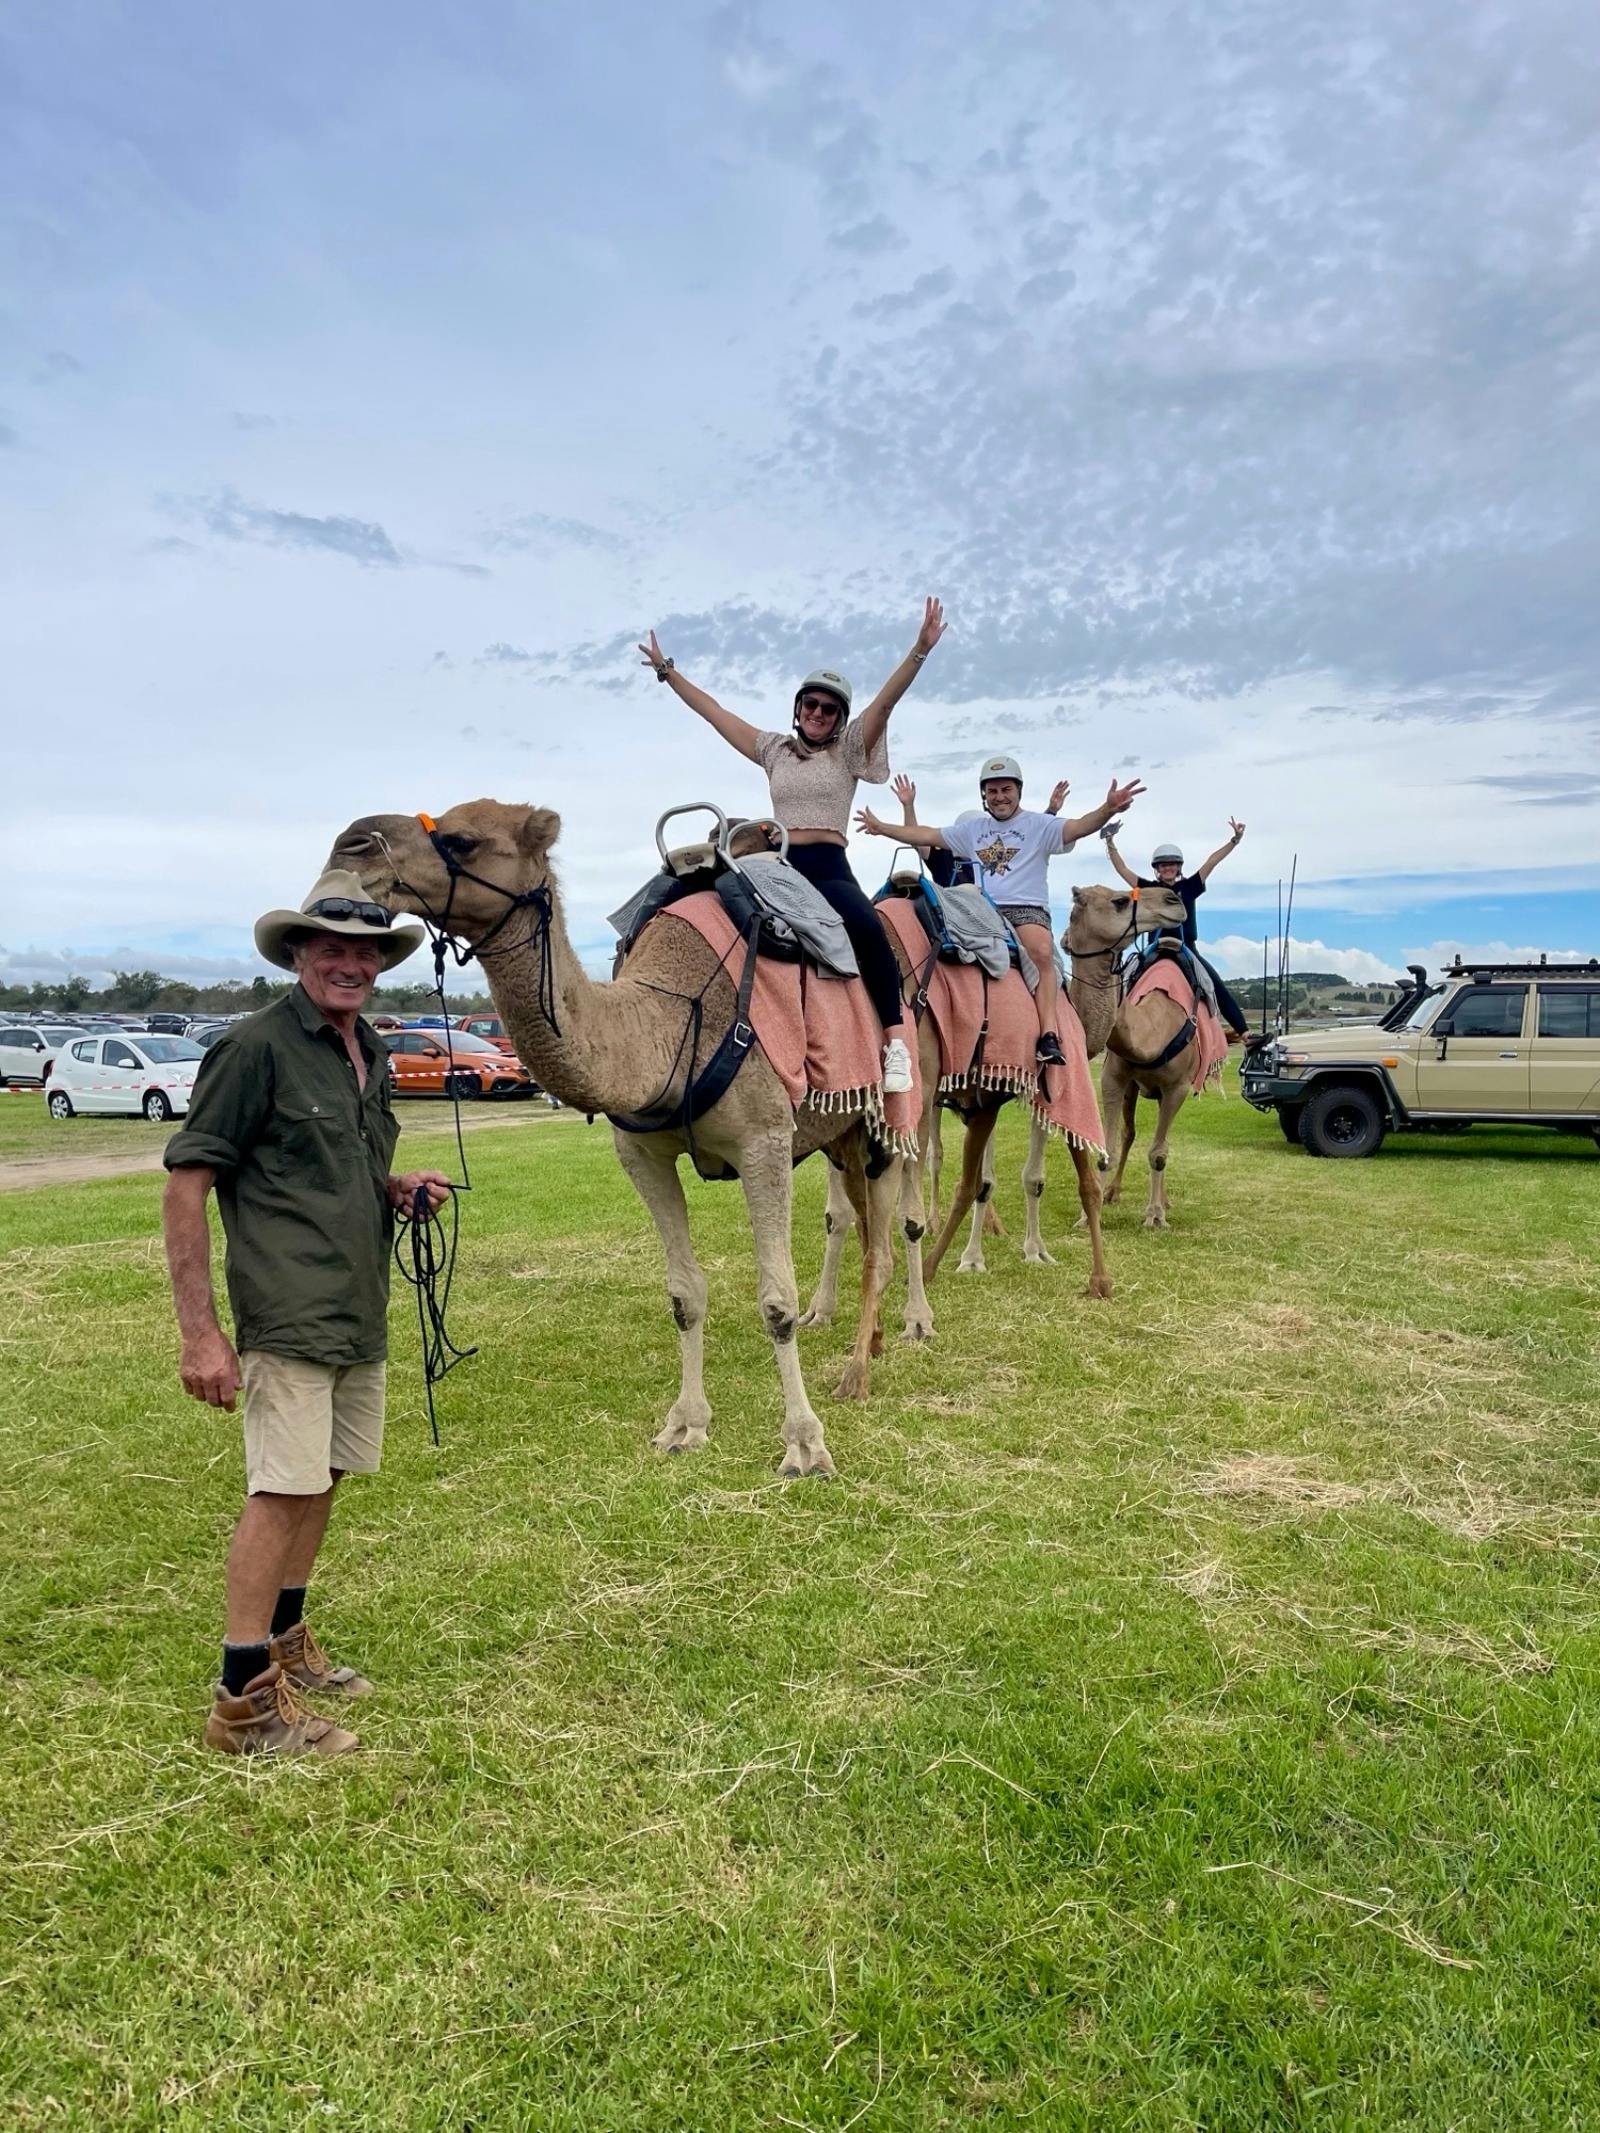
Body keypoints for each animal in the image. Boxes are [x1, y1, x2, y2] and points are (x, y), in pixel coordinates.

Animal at [328, 801, 921, 1478]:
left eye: (463, 839)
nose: (349, 845)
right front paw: (685, 1425)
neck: (671, 1021)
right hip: (838, 1134)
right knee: (865, 1225)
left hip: (888, 1115)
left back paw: (866, 1366)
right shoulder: (641, 1154)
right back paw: (873, 1343)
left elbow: (776, 1301)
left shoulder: (764, 1141)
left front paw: (804, 1444)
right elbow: (685, 1293)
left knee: (889, 1231)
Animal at [1064, 883, 1204, 1230]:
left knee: (1162, 1144)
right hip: (1133, 1089)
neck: (1152, 1033)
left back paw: (1163, 1202)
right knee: (1130, 1134)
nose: (1173, 899)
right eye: (1120, 901)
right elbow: (1108, 1149)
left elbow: (1158, 1153)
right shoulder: (1113, 1078)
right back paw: (1113, 1192)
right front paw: (1088, 1215)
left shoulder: (1179, 1087)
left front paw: (1154, 1215)